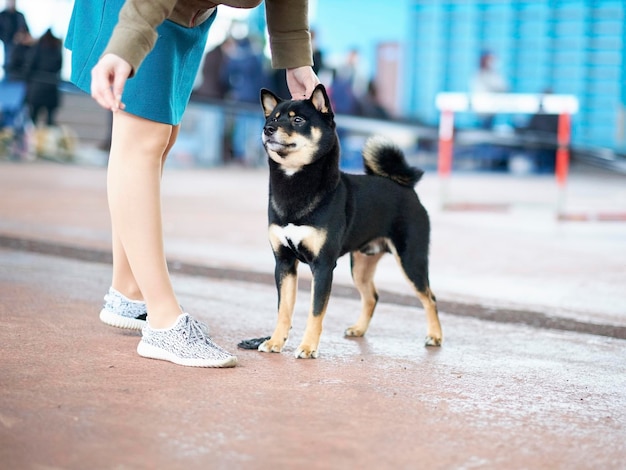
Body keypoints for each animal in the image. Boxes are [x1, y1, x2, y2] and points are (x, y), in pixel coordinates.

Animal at [256, 82, 442, 358]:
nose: (267, 129)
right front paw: (275, 341)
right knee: (372, 297)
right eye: (272, 118)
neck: (294, 186)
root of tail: (404, 187)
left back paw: (435, 336)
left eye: (298, 120)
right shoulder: (284, 262)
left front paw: (308, 347)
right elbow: (284, 309)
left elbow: (315, 312)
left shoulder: (322, 266)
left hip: (411, 260)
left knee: (429, 297)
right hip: (362, 265)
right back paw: (359, 329)